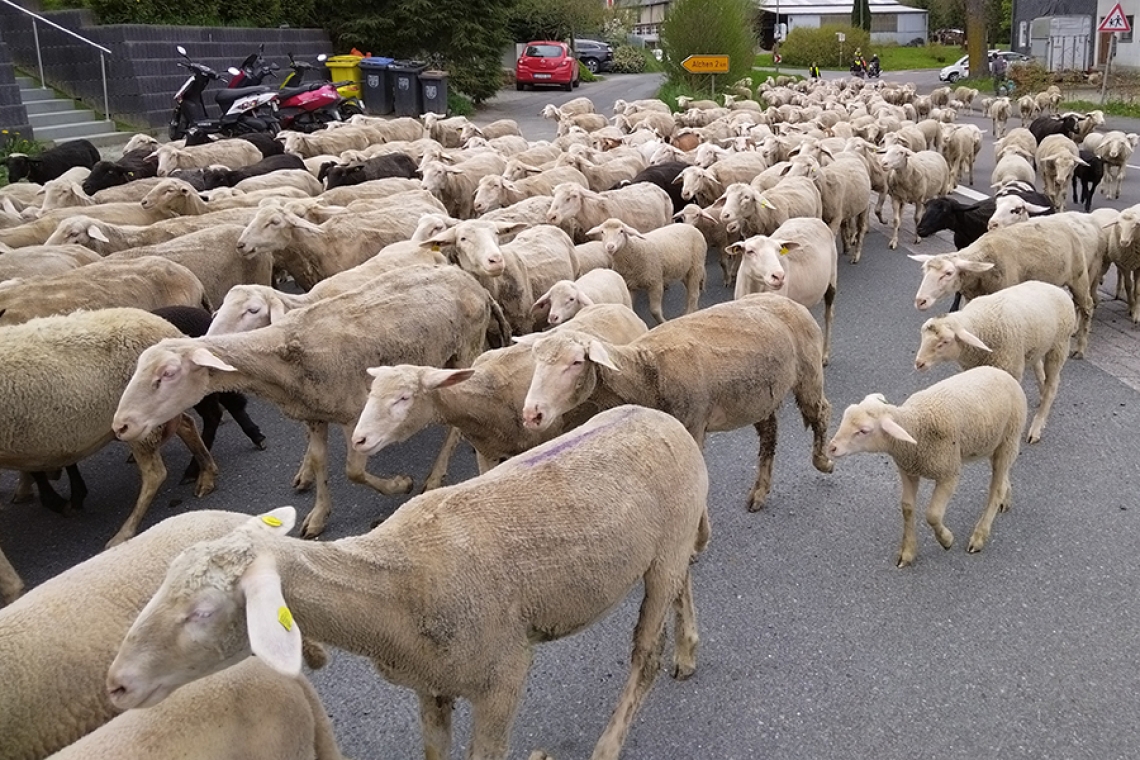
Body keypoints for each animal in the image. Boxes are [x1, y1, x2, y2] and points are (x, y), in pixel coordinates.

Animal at [108, 407, 711, 760]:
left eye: (204, 611)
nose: (116, 685)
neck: (396, 584)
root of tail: (663, 418)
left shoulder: (504, 677)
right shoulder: (430, 686)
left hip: (660, 556)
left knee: (643, 657)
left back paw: (611, 741)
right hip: (671, 541)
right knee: (683, 583)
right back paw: (687, 652)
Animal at [729, 216, 839, 364]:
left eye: (778, 250)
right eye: (750, 251)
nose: (779, 276)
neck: (754, 288)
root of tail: (810, 218)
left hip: (832, 279)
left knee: (828, 315)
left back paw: (824, 354)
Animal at [825, 364, 1030, 567]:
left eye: (864, 431)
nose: (831, 447)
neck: (916, 425)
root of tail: (1000, 371)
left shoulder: (949, 473)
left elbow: (933, 515)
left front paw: (946, 540)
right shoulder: (908, 470)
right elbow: (907, 507)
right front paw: (908, 552)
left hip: (1010, 437)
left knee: (996, 488)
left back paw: (979, 536)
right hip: (990, 441)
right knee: (1002, 477)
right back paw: (1005, 499)